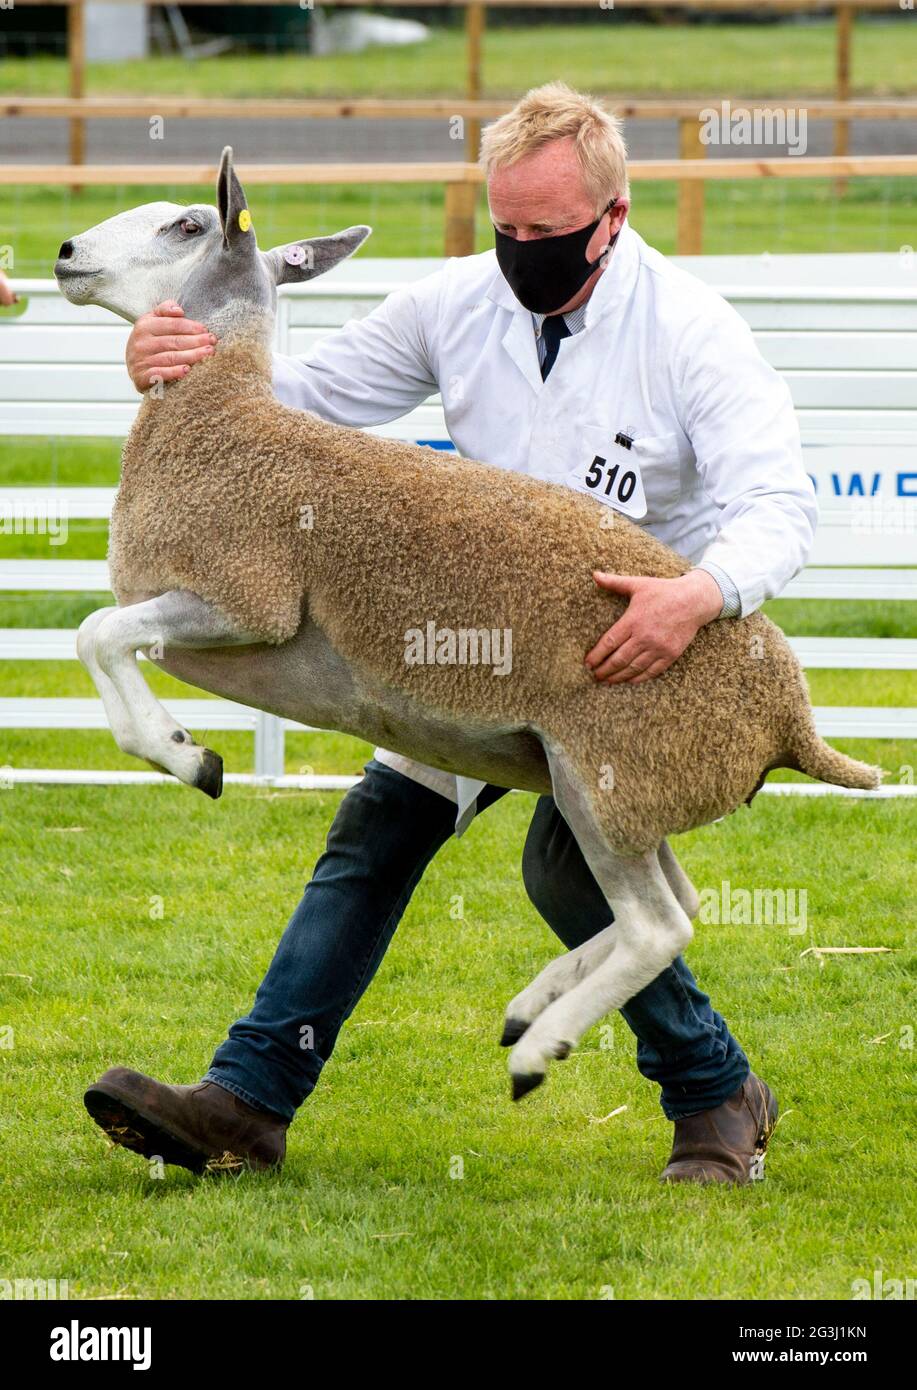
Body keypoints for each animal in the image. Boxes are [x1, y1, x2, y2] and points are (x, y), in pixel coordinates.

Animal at [57, 148, 881, 1099]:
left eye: (186, 225)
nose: (66, 253)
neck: (216, 417)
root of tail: (792, 718)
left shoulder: (239, 600)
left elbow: (96, 634)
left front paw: (190, 757)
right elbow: (101, 638)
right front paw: (187, 751)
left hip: (611, 778)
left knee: (658, 928)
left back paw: (537, 1049)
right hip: (632, 793)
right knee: (677, 904)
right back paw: (533, 1004)